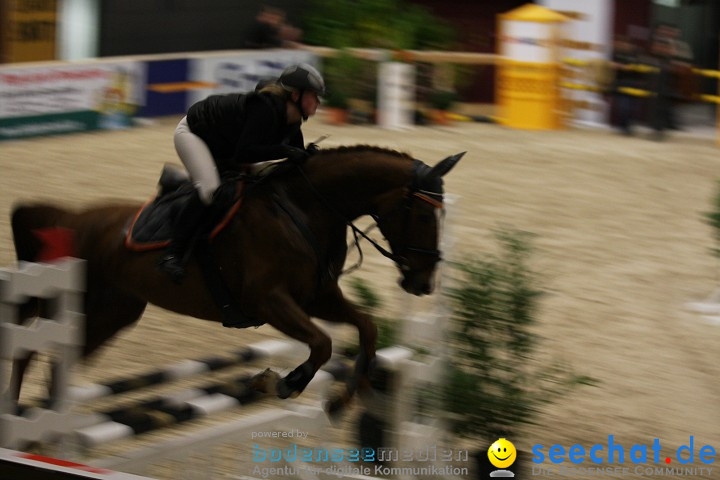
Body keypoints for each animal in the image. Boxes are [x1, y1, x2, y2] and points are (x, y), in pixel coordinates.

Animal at [9, 145, 462, 404]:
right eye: (425, 216)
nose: (423, 284)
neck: (304, 210)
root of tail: (72, 221)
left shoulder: (317, 298)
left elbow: (366, 327)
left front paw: (349, 395)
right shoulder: (269, 301)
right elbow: (322, 343)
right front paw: (281, 384)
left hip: (113, 313)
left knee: (56, 364)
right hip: (74, 301)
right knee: (28, 349)